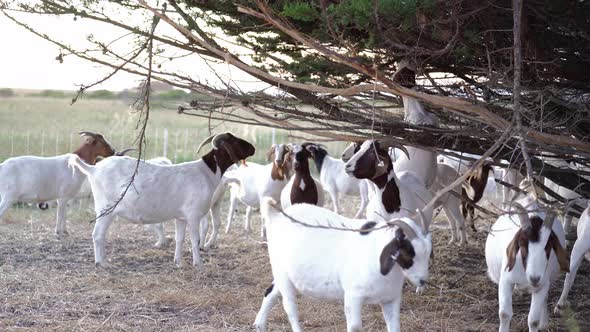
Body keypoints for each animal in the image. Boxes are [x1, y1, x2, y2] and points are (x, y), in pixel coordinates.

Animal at [67, 132, 256, 268]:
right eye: (235, 141)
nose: (253, 148)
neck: (207, 171)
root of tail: (93, 169)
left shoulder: (181, 217)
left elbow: (180, 239)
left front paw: (179, 263)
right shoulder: (193, 215)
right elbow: (194, 240)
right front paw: (199, 264)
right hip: (106, 209)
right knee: (98, 235)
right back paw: (102, 263)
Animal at [256, 198, 434, 330]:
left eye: (428, 252)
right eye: (408, 252)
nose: (423, 281)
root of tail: (276, 217)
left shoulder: (391, 299)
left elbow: (395, 326)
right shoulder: (353, 296)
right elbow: (355, 327)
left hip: (284, 274)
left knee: (270, 291)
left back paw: (259, 325)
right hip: (281, 273)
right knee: (290, 308)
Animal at [486, 202, 572, 332]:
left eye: (549, 245)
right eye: (522, 244)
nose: (534, 278)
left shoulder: (542, 285)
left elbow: (533, 321)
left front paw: (539, 323)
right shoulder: (506, 281)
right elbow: (504, 314)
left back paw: (544, 323)